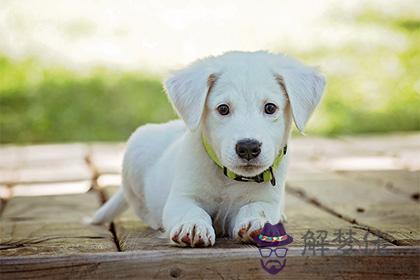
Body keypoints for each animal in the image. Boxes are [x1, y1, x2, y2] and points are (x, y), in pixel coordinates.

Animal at [92, 50, 324, 247]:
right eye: (223, 109)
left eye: (270, 108)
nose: (248, 147)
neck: (229, 178)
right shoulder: (182, 197)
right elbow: (191, 211)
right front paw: (193, 226)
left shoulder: (267, 199)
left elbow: (258, 208)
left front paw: (258, 223)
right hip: (136, 151)